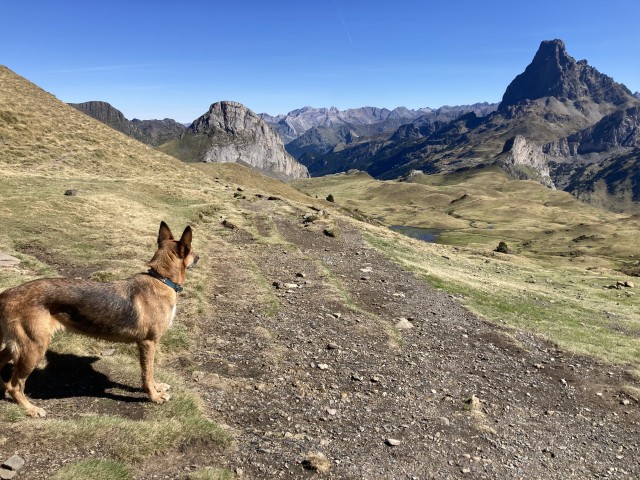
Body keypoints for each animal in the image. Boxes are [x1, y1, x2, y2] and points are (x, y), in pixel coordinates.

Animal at [0, 221, 198, 416]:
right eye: (191, 250)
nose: (199, 257)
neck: (161, 279)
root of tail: (7, 293)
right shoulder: (148, 343)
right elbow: (147, 373)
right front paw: (154, 396)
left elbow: (150, 372)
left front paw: (157, 387)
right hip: (33, 349)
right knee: (14, 385)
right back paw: (30, 409)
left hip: (18, 346)